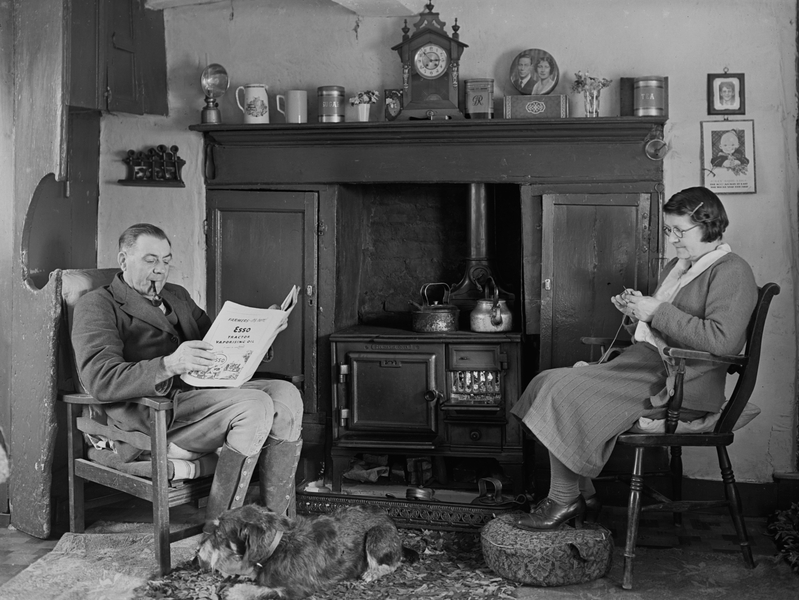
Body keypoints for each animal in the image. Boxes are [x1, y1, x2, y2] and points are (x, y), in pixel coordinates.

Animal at [197, 504, 418, 596]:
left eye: (219, 533)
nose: (197, 556)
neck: (276, 547)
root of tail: (389, 520)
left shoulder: (293, 589)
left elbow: (259, 590)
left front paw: (234, 590)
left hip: (377, 535)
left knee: (394, 562)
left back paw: (372, 572)